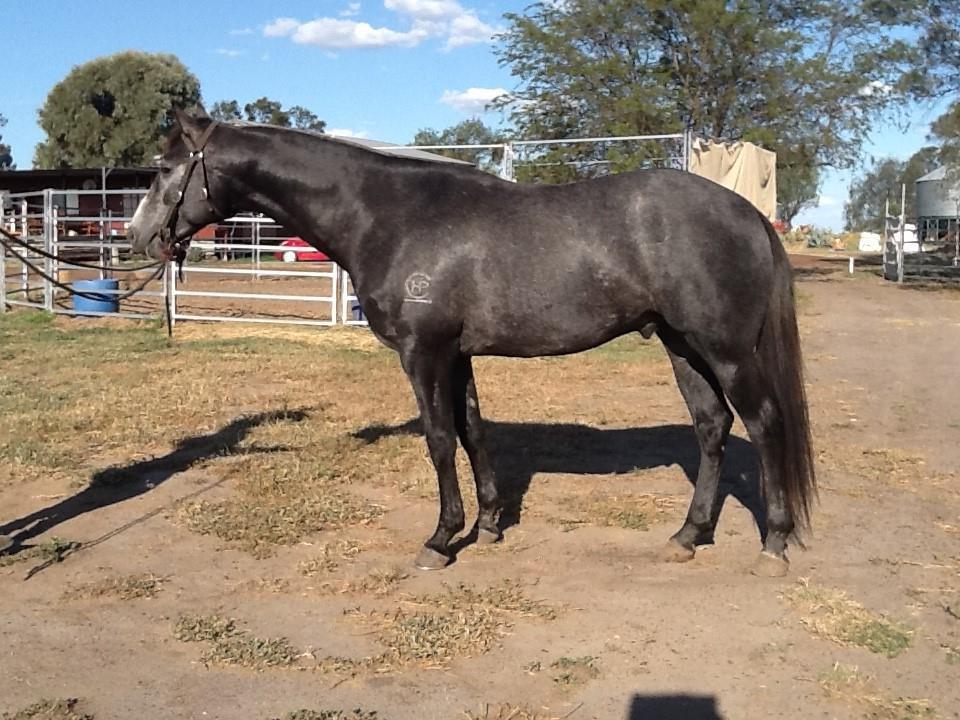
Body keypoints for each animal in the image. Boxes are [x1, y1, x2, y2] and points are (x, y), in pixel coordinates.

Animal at [128, 110, 815, 577]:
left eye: (164, 169)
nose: (138, 237)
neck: (387, 214)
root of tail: (748, 214)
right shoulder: (457, 357)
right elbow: (473, 431)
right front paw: (487, 526)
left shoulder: (424, 353)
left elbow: (439, 440)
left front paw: (441, 539)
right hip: (682, 346)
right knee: (711, 427)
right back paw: (688, 535)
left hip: (725, 349)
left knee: (763, 423)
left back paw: (774, 544)